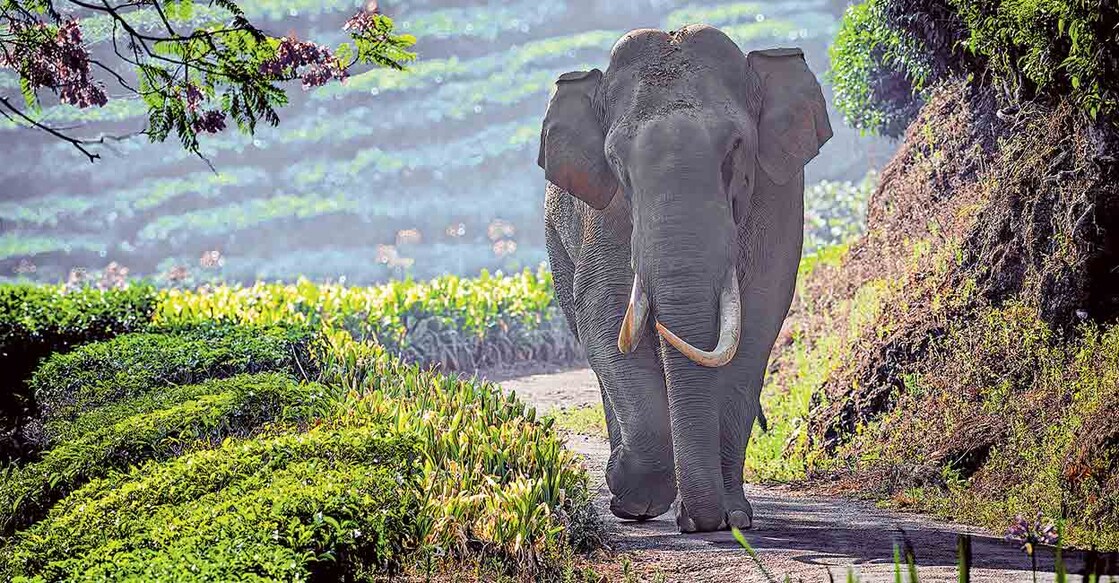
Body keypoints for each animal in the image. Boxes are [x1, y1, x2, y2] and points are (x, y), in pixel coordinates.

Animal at [537, 25, 837, 534]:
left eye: (736, 148)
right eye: (616, 161)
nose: (699, 523)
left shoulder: (778, 194)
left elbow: (757, 321)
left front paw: (732, 519)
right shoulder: (606, 210)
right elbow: (603, 313)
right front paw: (630, 492)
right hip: (556, 240)